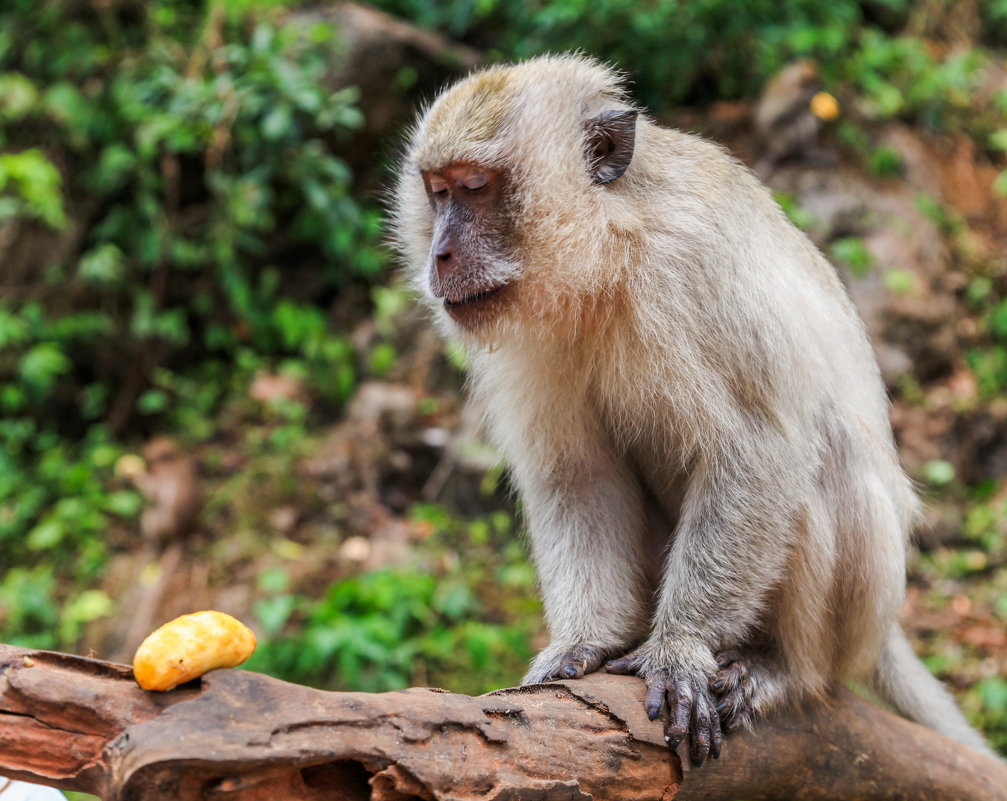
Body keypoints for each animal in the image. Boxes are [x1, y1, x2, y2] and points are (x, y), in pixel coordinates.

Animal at [388, 53, 994, 765]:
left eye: (476, 187)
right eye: (438, 193)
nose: (440, 254)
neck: (609, 258)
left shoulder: (692, 271)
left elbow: (758, 451)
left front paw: (680, 648)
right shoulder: (537, 338)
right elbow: (579, 475)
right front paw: (584, 643)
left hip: (859, 616)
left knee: (829, 454)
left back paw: (782, 667)